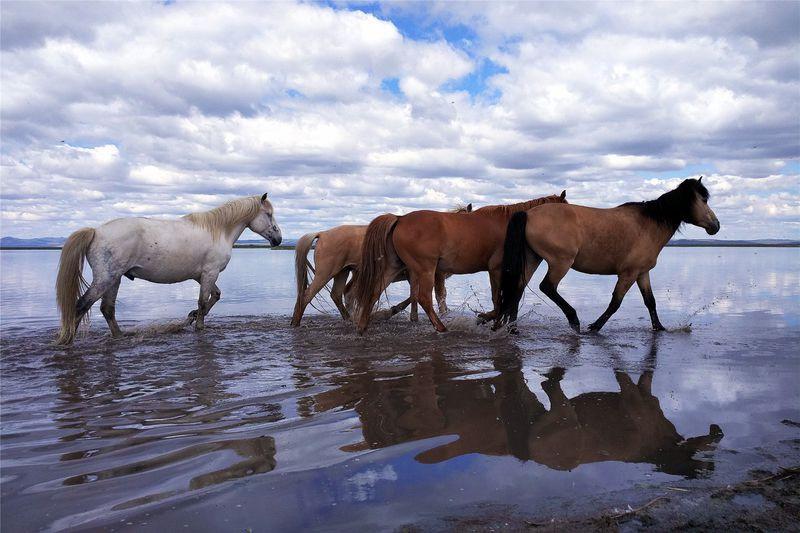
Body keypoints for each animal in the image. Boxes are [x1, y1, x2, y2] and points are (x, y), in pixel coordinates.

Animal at [54, 193, 280, 342]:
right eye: (268, 214)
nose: (278, 239)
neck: (218, 231)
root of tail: (96, 231)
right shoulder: (209, 273)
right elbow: (202, 301)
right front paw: (198, 325)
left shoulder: (202, 276)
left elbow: (214, 296)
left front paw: (192, 317)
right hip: (105, 279)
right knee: (81, 306)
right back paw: (68, 341)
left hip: (114, 279)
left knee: (107, 309)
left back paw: (120, 336)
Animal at [292, 206, 468, 326]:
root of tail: (322, 233)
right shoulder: (435, 275)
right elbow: (438, 296)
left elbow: (415, 295)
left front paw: (411, 317)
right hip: (326, 272)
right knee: (308, 295)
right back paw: (296, 323)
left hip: (343, 271)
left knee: (338, 293)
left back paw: (349, 318)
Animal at [352, 191, 568, 332]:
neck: (512, 224)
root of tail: (400, 218)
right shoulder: (496, 270)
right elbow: (497, 299)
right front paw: (490, 320)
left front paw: (489, 320)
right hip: (425, 269)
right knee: (423, 298)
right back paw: (441, 328)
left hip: (395, 266)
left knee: (375, 290)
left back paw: (362, 326)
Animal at [496, 177, 720, 330]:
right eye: (703, 199)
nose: (716, 225)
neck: (649, 225)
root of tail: (528, 213)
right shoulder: (628, 274)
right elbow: (615, 303)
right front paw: (595, 326)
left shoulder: (642, 273)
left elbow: (650, 301)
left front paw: (659, 328)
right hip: (560, 263)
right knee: (547, 287)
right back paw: (574, 319)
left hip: (533, 259)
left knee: (518, 288)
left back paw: (513, 328)